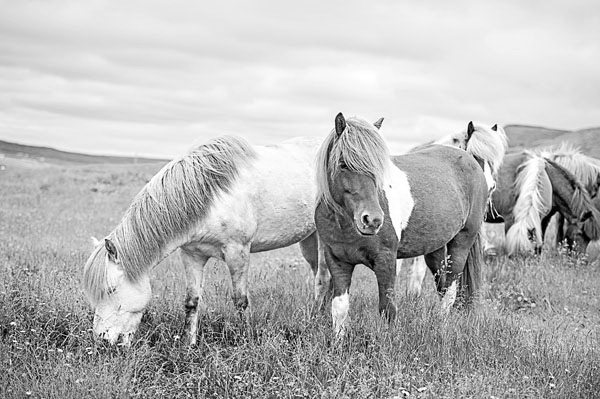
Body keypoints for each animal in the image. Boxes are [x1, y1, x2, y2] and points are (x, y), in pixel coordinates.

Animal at [81, 135, 328, 346]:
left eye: (111, 289)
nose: (100, 339)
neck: (210, 196)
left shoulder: (237, 252)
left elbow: (240, 301)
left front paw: (245, 340)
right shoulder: (192, 255)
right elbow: (191, 301)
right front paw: (188, 345)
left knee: (322, 279)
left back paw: (316, 319)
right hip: (309, 239)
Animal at [314, 114, 506, 336]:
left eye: (379, 168)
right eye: (343, 164)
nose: (373, 220)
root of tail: (467, 160)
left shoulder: (386, 260)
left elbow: (387, 308)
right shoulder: (337, 261)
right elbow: (339, 308)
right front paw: (338, 341)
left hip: (462, 241)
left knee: (450, 289)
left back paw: (441, 326)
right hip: (435, 248)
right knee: (442, 285)